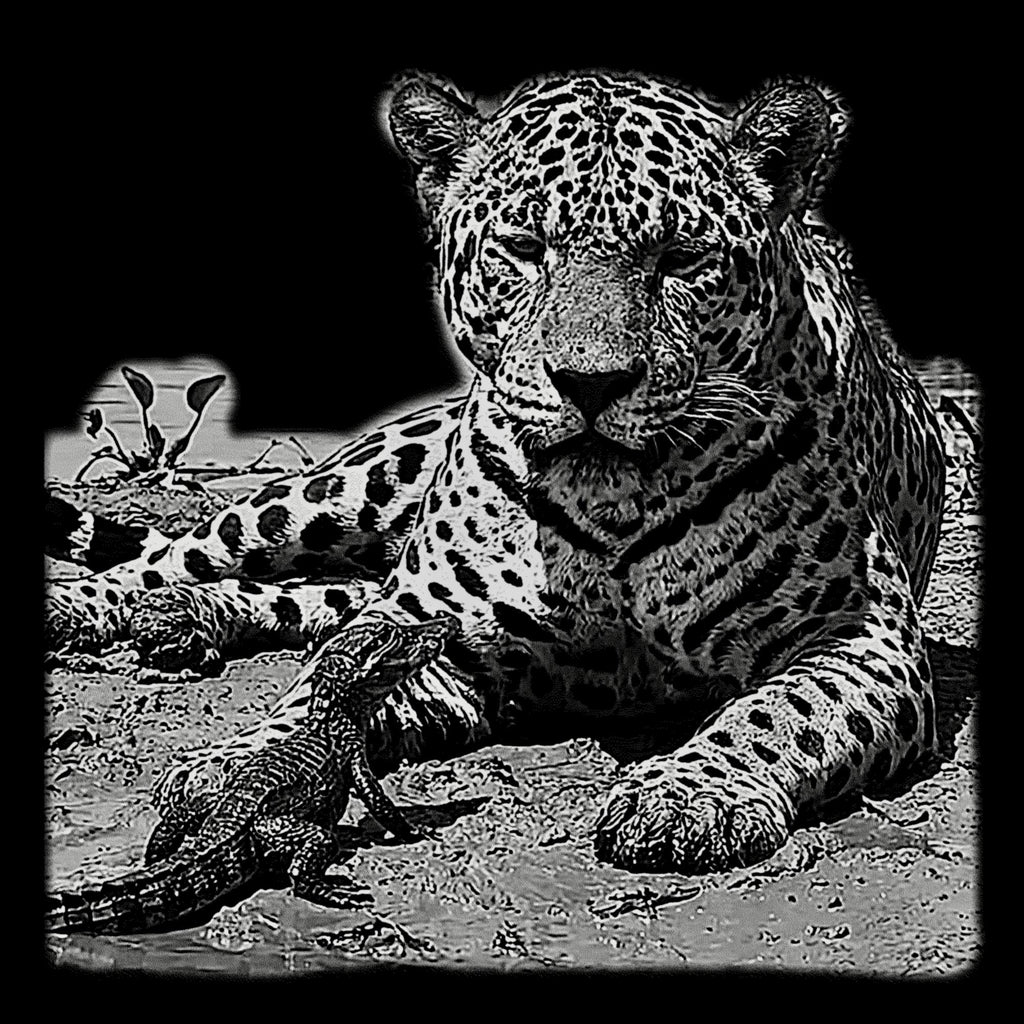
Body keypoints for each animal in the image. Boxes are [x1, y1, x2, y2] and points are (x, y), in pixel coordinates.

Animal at [45, 68, 946, 874]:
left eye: (682, 259)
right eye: (524, 249)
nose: (592, 382)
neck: (614, 499)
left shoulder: (858, 637)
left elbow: (774, 712)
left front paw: (689, 794)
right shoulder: (440, 632)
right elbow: (320, 687)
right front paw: (246, 764)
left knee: (319, 596)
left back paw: (187, 618)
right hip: (354, 485)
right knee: (189, 552)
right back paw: (96, 606)